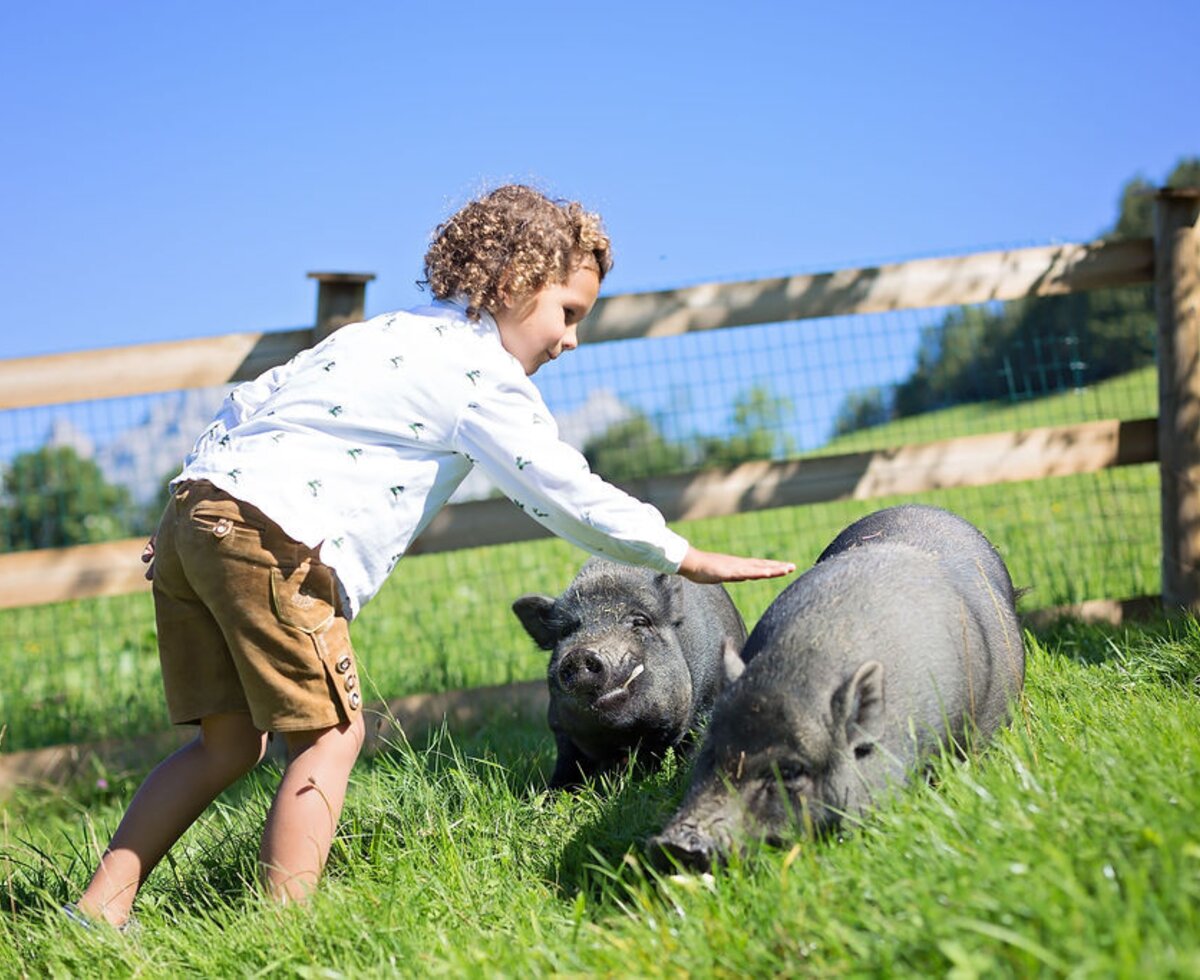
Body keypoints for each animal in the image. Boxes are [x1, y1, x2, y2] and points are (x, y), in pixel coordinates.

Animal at [513, 558, 748, 789]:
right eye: (565, 632)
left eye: (641, 622)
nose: (579, 654)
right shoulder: (559, 728)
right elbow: (567, 768)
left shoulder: (708, 703)